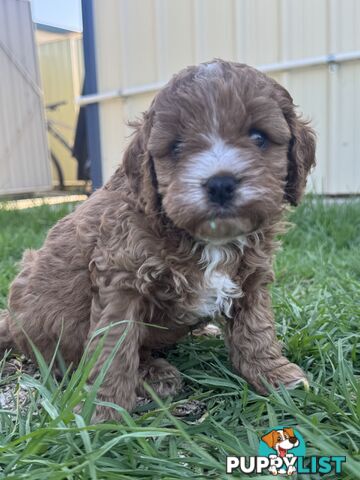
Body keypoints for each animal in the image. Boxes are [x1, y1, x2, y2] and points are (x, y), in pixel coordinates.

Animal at [0, 59, 316, 420]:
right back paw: (152, 374)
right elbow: (114, 346)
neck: (208, 239)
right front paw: (103, 411)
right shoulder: (121, 280)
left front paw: (275, 376)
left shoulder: (251, 277)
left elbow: (257, 328)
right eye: (176, 147)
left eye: (259, 137)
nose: (220, 183)